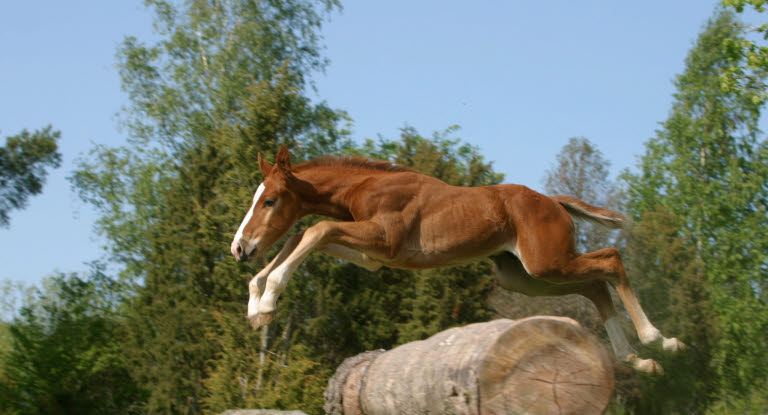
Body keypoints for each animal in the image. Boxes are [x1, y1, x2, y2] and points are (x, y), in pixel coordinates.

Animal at [230, 147, 684, 376]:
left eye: (270, 200)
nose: (240, 248)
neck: (368, 185)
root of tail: (554, 202)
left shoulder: (384, 239)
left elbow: (315, 230)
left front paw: (265, 301)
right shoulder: (372, 256)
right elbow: (301, 237)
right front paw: (256, 306)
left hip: (548, 263)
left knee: (611, 261)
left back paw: (660, 340)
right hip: (526, 276)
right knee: (594, 285)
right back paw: (639, 360)